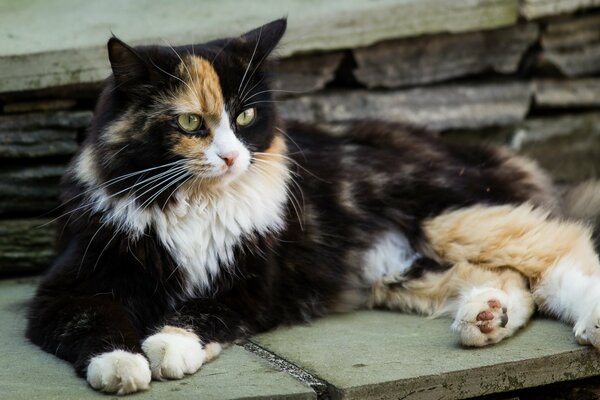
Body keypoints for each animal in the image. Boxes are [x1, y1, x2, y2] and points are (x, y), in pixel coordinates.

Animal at [27, 18, 600, 394]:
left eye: (246, 115)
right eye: (190, 123)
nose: (232, 156)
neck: (194, 205)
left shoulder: (248, 287)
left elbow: (198, 315)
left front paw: (166, 349)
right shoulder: (69, 285)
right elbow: (94, 323)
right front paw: (123, 366)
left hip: (450, 220)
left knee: (563, 253)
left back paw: (583, 324)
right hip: (402, 271)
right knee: (516, 282)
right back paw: (485, 319)